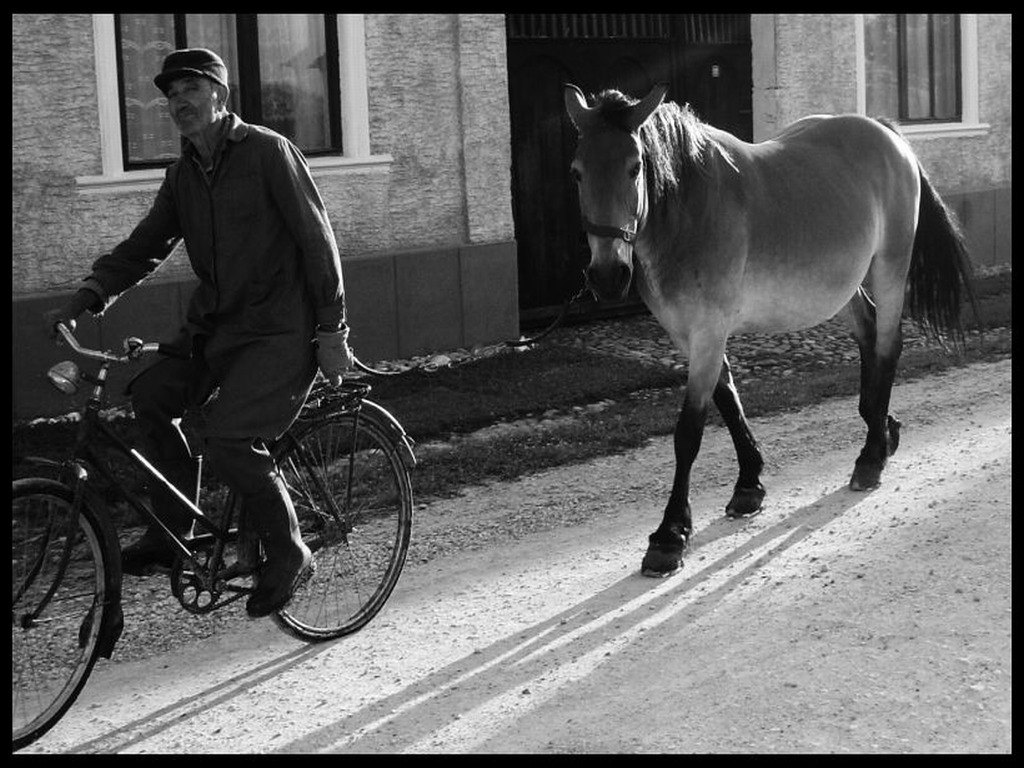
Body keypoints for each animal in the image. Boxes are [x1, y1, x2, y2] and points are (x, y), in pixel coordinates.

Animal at [565, 83, 970, 577]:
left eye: (635, 167)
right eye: (577, 172)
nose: (607, 276)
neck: (688, 211)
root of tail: (886, 134)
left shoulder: (708, 331)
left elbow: (689, 432)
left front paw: (670, 535)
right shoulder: (688, 335)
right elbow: (728, 401)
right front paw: (748, 486)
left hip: (889, 267)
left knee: (888, 344)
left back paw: (870, 457)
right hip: (842, 286)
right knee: (870, 335)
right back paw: (881, 425)